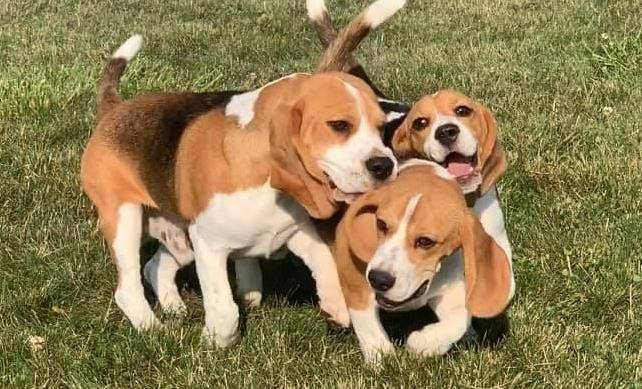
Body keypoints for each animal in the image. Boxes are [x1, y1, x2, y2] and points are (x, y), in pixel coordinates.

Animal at [80, 31, 398, 344]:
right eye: (339, 125)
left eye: (381, 128)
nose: (384, 166)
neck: (268, 188)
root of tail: (115, 109)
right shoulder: (208, 244)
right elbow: (225, 309)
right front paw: (214, 341)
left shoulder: (294, 232)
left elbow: (325, 261)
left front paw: (335, 306)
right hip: (126, 219)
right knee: (128, 286)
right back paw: (152, 329)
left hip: (180, 238)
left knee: (155, 266)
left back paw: (173, 306)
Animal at [336, 159, 510, 362]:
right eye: (381, 224)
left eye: (425, 242)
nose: (378, 279)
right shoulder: (355, 284)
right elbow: (369, 329)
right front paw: (382, 359)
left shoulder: (450, 290)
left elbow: (460, 319)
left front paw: (424, 343)